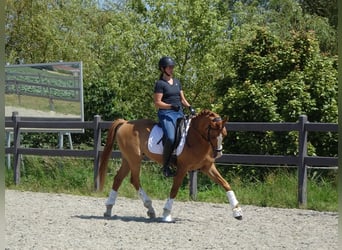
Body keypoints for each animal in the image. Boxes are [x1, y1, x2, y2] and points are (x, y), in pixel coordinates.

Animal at [97, 108, 243, 222]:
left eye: (224, 134)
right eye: (212, 134)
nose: (218, 154)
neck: (196, 138)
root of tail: (125, 122)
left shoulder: (208, 167)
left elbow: (225, 184)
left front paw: (237, 211)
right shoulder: (183, 168)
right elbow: (174, 189)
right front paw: (166, 213)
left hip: (128, 159)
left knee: (118, 178)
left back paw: (109, 209)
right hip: (135, 159)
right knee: (134, 180)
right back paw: (150, 208)